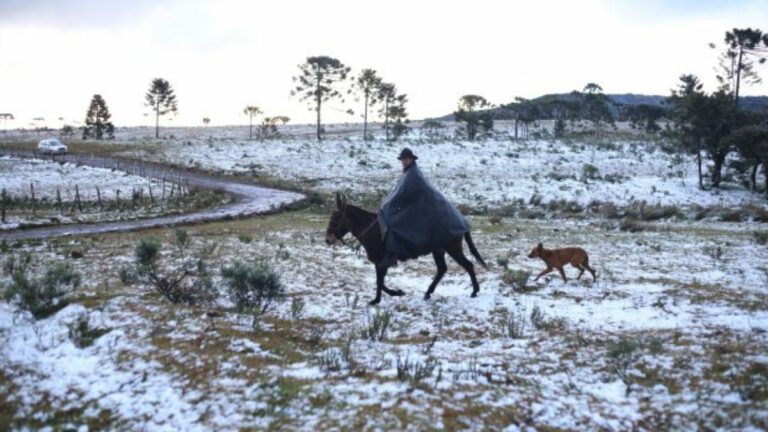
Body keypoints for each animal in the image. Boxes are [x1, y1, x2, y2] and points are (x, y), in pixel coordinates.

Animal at [324, 192, 486, 308]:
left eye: (337, 217)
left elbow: (379, 281)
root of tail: (460, 220)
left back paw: (474, 291)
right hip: (438, 251)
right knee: (442, 269)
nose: (328, 239)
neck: (375, 231)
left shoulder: (383, 261)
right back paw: (428, 293)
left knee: (468, 265)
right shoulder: (378, 262)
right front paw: (393, 294)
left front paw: (383, 297)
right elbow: (380, 281)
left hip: (453, 249)